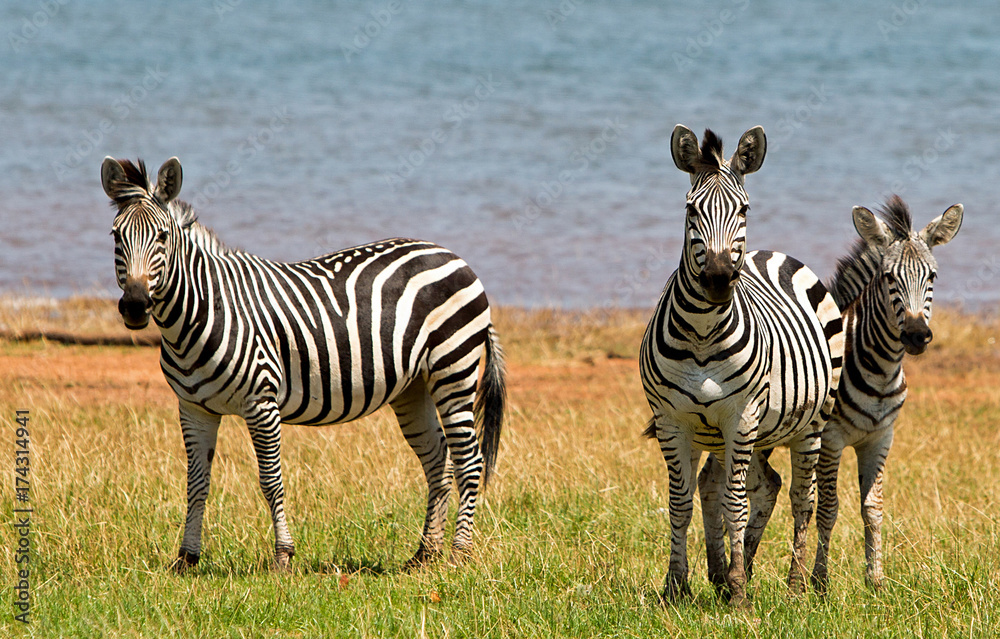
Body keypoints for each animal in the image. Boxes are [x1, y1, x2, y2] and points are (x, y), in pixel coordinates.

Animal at [101, 156, 506, 571]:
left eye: (163, 236)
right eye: (116, 237)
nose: (135, 306)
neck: (201, 313)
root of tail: (451, 255)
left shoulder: (261, 403)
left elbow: (270, 480)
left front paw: (283, 555)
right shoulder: (194, 409)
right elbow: (197, 483)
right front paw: (186, 558)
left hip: (453, 369)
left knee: (468, 460)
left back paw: (459, 553)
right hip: (414, 386)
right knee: (437, 458)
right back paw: (425, 554)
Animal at [640, 125, 844, 605]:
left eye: (744, 209)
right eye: (690, 210)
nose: (717, 279)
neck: (701, 334)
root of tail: (769, 253)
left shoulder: (742, 415)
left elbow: (736, 503)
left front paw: (737, 593)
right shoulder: (672, 420)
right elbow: (681, 502)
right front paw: (677, 586)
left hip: (809, 424)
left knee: (801, 498)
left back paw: (794, 584)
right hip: (728, 433)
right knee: (743, 484)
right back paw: (728, 570)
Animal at [810, 196, 963, 592]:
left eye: (932, 277)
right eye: (889, 278)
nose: (916, 335)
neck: (880, 372)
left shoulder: (881, 436)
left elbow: (873, 508)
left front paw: (875, 579)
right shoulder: (831, 438)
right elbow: (828, 508)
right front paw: (819, 583)